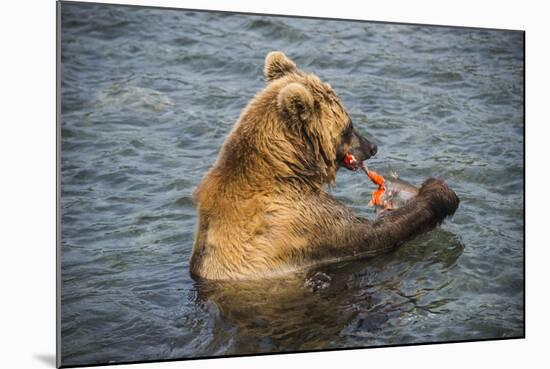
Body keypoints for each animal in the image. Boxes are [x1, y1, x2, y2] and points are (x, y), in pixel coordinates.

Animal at [191, 51, 462, 278]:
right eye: (349, 126)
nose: (372, 147)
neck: (286, 168)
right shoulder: (302, 221)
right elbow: (374, 234)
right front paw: (438, 191)